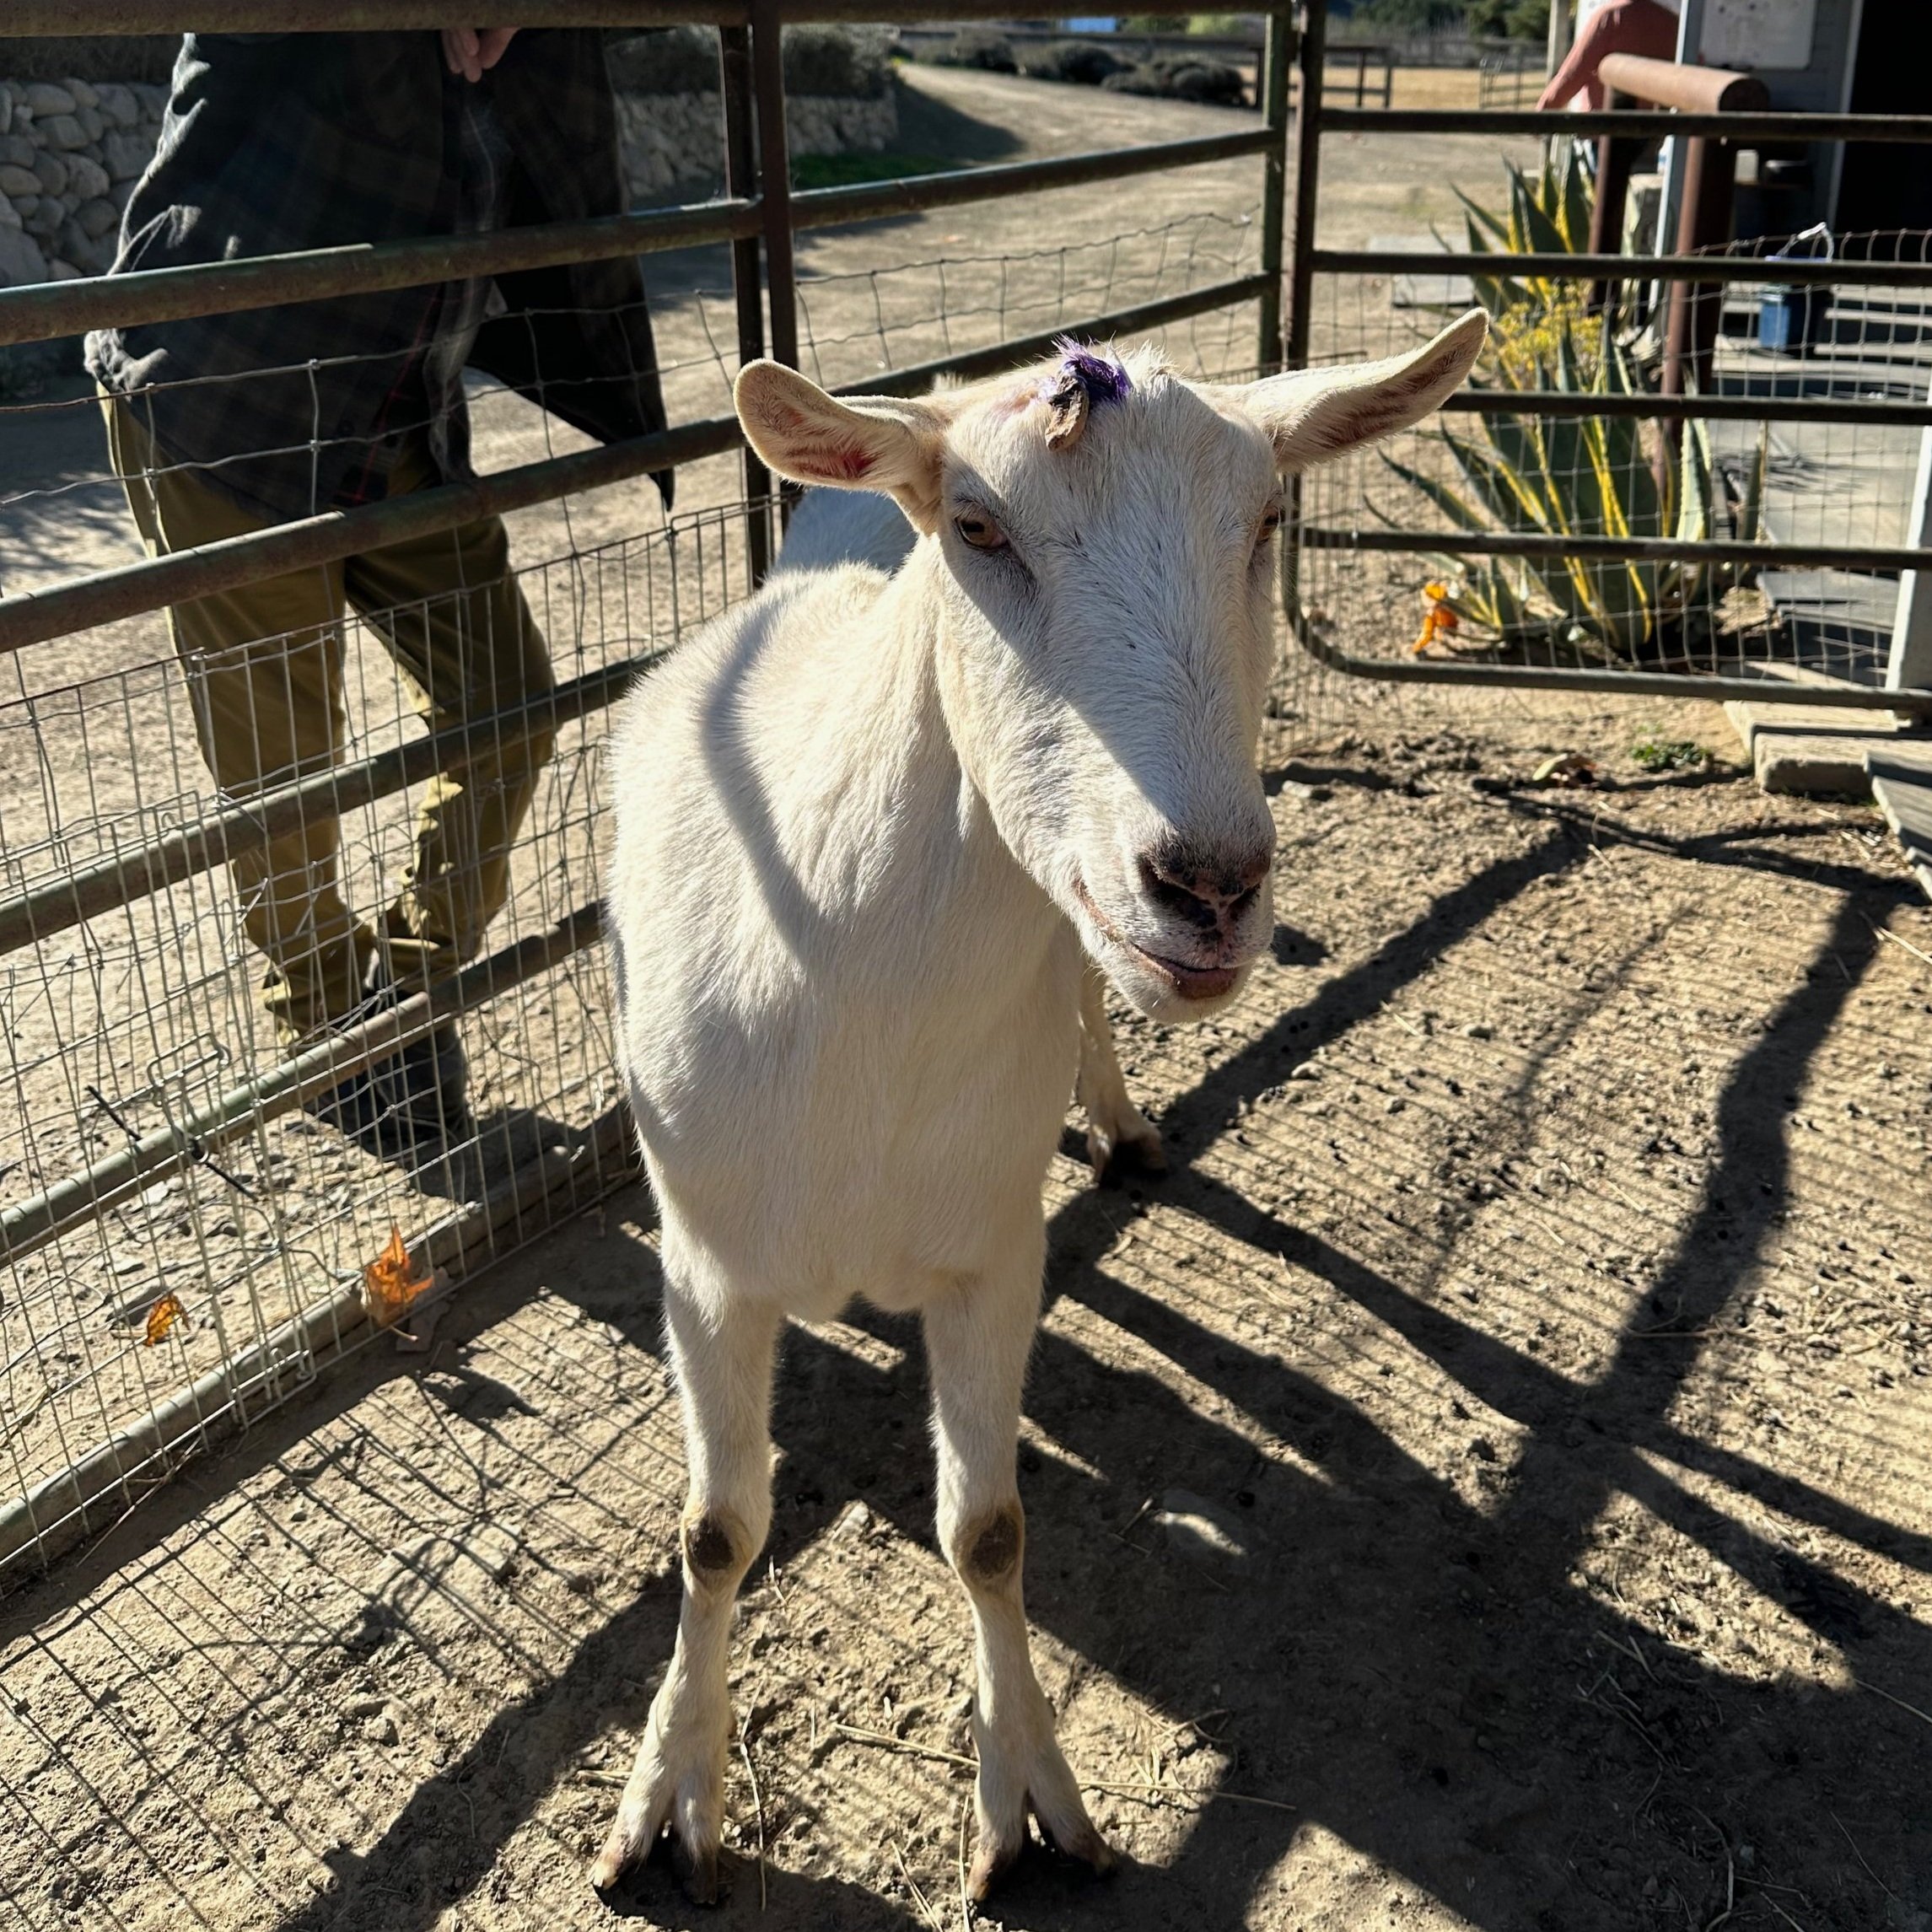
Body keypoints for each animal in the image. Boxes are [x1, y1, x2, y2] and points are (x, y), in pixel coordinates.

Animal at [594, 311, 1487, 1903]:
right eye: (977, 526)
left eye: (1264, 521)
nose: (1208, 885)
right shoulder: (702, 1261)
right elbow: (714, 1530)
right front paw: (671, 1794)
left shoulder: (992, 1255)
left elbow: (991, 1530)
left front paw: (1025, 1802)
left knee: (1081, 987)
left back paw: (1123, 1125)